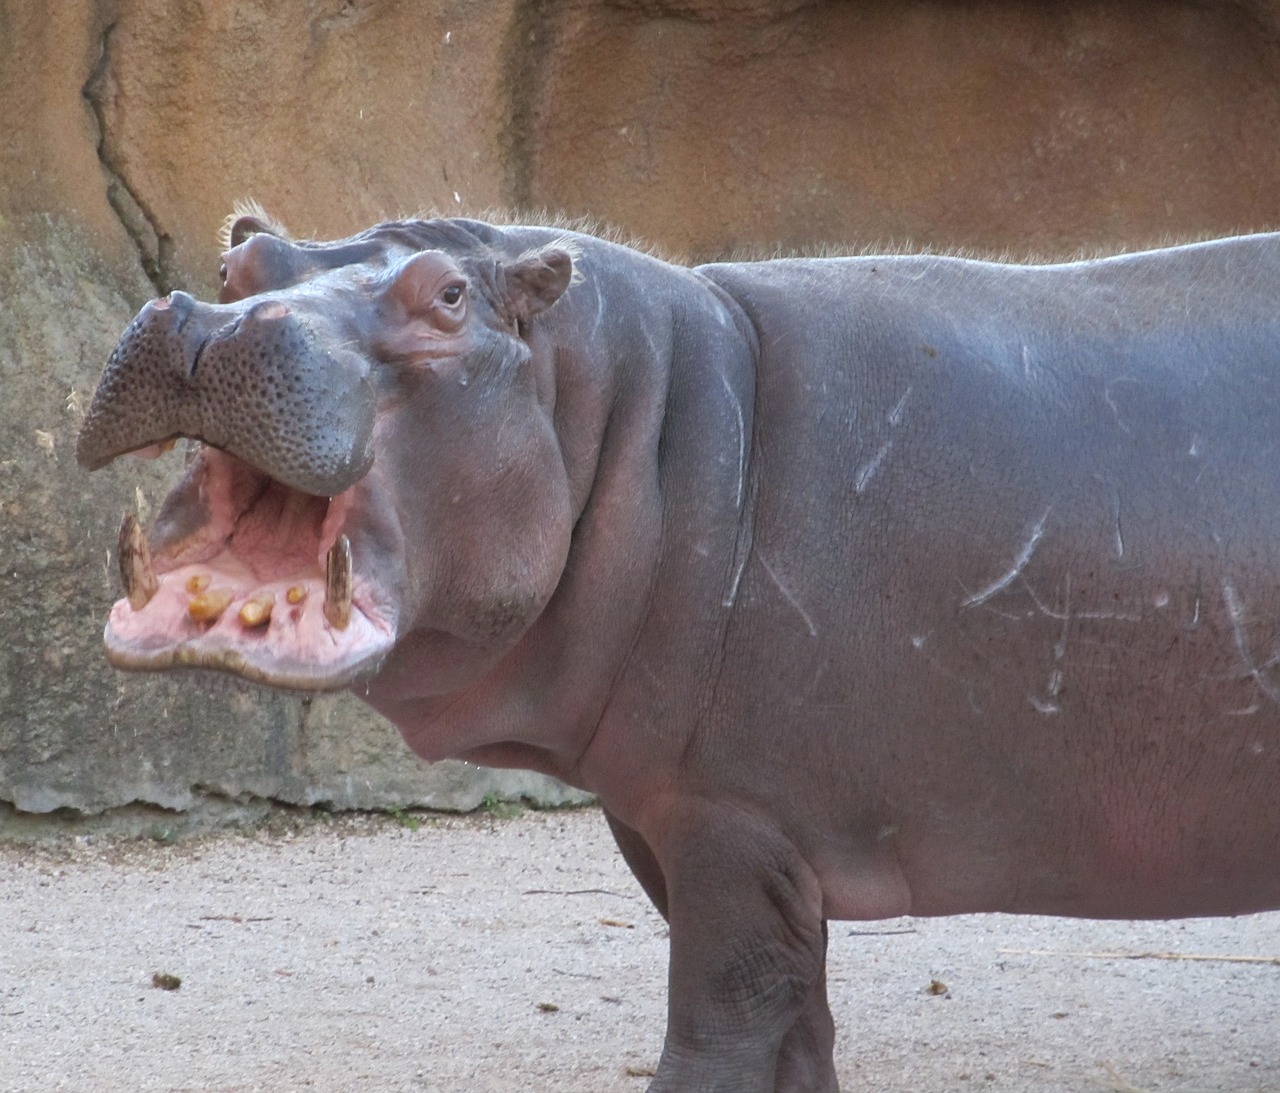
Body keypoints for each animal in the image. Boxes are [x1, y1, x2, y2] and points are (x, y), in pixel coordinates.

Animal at [78, 211, 1280, 1091]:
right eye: (239, 262)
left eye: (449, 295)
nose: (213, 324)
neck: (636, 417)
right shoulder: (662, 813)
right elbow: (799, 1025)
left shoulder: (734, 822)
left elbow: (724, 1021)